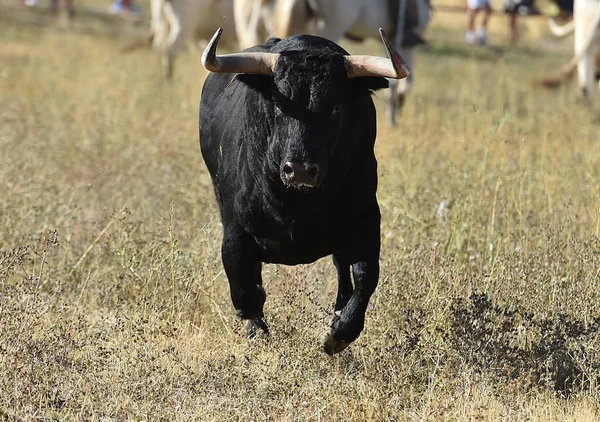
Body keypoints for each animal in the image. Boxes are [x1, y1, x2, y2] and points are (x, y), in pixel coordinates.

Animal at [199, 28, 406, 354]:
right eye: (278, 104)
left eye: (336, 106)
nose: (299, 169)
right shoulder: (233, 225)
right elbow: (243, 283)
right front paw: (255, 328)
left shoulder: (366, 218)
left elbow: (366, 274)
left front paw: (339, 333)